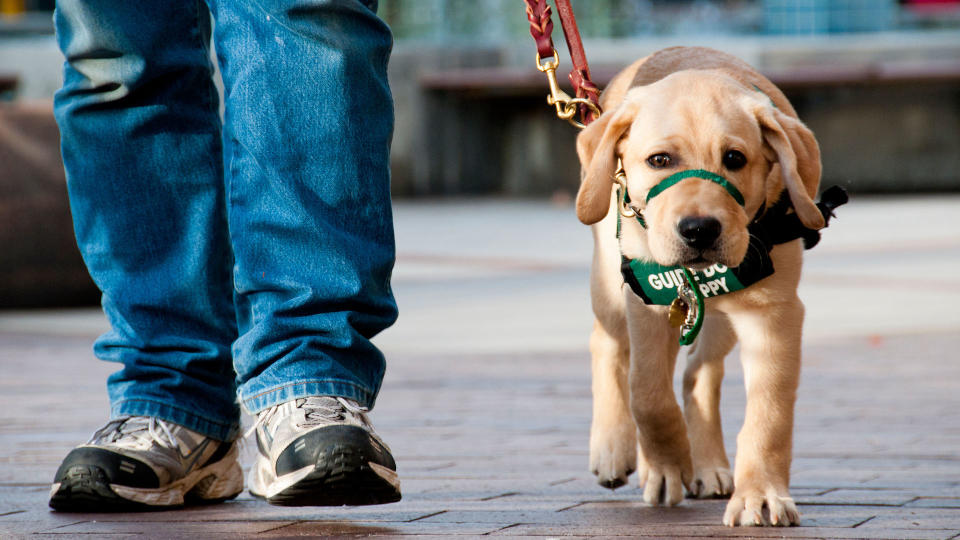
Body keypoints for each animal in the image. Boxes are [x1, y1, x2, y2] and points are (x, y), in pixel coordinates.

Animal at [572, 47, 828, 528]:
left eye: (735, 158)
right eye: (659, 160)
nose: (699, 230)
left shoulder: (774, 313)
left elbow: (769, 415)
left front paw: (760, 495)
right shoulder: (645, 299)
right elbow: (647, 393)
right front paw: (669, 464)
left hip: (725, 312)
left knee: (699, 373)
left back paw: (707, 467)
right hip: (609, 280)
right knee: (607, 344)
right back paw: (615, 449)